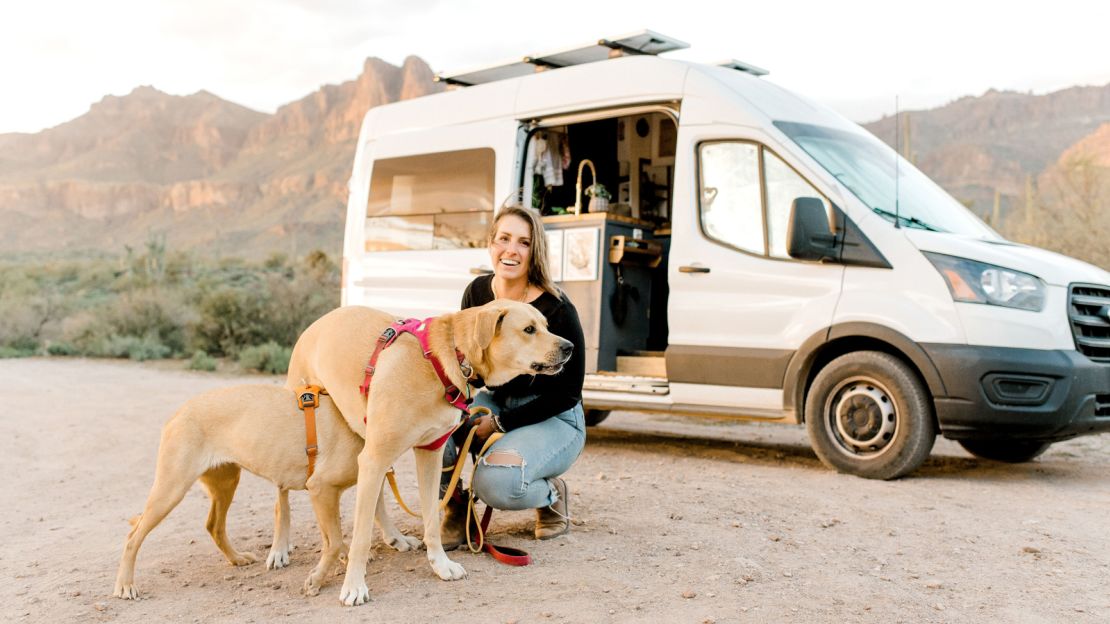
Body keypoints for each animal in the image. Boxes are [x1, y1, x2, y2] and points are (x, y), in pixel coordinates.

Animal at [111, 384, 419, 599]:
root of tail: (177, 413)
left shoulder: (332, 493)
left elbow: (335, 537)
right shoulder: (321, 489)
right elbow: (332, 542)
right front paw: (317, 580)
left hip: (226, 483)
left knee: (214, 526)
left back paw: (237, 559)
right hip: (171, 489)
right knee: (133, 536)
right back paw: (125, 584)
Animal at [286, 299, 572, 604]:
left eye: (547, 326)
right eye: (529, 329)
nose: (570, 347)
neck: (451, 358)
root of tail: (319, 321)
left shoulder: (429, 453)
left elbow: (432, 520)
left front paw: (441, 565)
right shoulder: (375, 457)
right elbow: (361, 537)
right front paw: (353, 586)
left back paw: (394, 538)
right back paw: (290, 552)